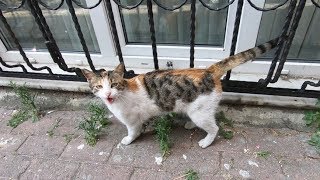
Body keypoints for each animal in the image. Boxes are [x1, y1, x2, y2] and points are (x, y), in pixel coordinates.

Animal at [83, 37, 280, 148]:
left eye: (114, 84)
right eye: (99, 87)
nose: (108, 94)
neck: (122, 95)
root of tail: (208, 71)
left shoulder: (131, 121)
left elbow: (133, 131)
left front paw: (129, 140)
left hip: (200, 112)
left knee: (214, 128)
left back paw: (206, 142)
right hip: (200, 109)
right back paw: (191, 125)